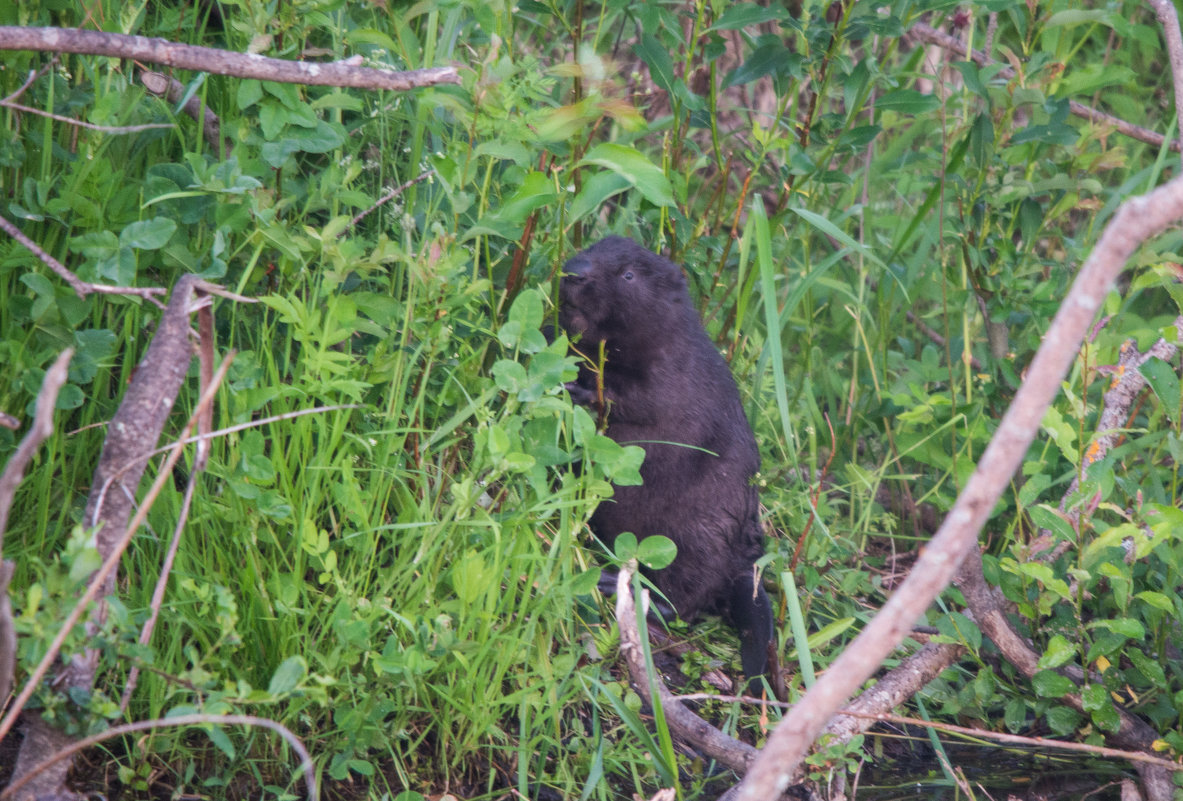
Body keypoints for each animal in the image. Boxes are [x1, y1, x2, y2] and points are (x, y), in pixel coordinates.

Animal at [556, 233, 771, 681]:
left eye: (628, 274)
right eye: (593, 245)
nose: (575, 271)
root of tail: (746, 568)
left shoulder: (676, 371)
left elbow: (641, 399)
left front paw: (582, 388)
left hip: (697, 538)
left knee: (685, 600)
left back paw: (615, 585)